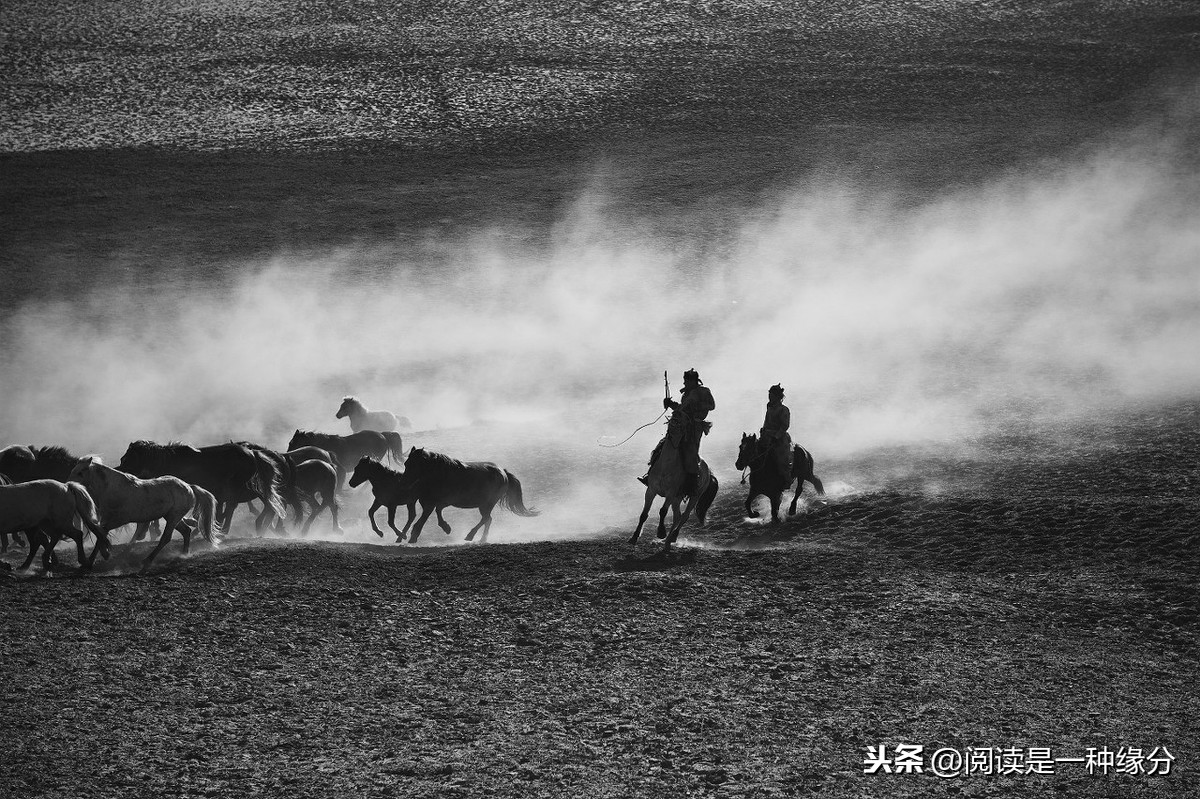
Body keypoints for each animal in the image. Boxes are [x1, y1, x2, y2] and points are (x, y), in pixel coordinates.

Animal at [400, 448, 537, 542]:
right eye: (406, 464)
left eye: (413, 464)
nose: (403, 482)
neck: (441, 473)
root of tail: (503, 473)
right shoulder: (437, 502)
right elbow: (437, 512)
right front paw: (446, 527)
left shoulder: (435, 503)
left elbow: (425, 517)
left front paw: (414, 536)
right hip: (484, 505)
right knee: (488, 519)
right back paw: (482, 539)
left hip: (487, 504)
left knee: (486, 519)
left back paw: (470, 535)